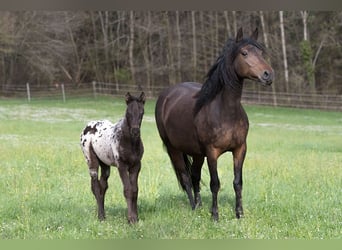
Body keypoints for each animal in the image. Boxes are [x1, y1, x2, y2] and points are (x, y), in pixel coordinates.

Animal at [81, 92, 146, 223]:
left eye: (142, 112)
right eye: (128, 112)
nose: (135, 131)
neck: (130, 141)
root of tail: (88, 126)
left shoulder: (136, 166)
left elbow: (135, 190)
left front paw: (136, 218)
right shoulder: (122, 166)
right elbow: (127, 190)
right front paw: (131, 219)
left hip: (105, 165)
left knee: (103, 187)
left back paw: (103, 215)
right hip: (91, 162)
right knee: (96, 187)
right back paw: (101, 217)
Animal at [156, 27, 274, 221]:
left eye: (261, 52)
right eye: (244, 53)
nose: (268, 75)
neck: (225, 112)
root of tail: (166, 95)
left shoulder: (240, 149)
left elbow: (238, 182)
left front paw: (239, 214)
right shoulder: (212, 152)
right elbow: (215, 183)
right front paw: (215, 216)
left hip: (197, 153)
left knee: (195, 175)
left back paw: (199, 205)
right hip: (174, 149)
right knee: (185, 177)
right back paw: (193, 207)